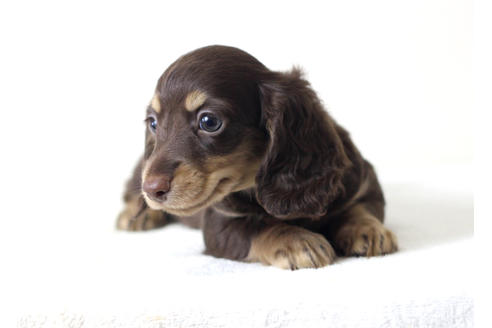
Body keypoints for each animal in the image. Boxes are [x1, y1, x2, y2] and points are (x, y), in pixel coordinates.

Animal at [117, 44, 398, 270]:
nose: (152, 189)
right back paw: (137, 215)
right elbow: (258, 228)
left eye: (209, 121)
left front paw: (368, 229)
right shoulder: (221, 224)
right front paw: (296, 240)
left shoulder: (364, 184)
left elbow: (360, 207)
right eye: (153, 123)